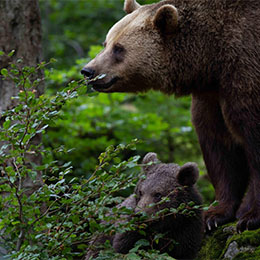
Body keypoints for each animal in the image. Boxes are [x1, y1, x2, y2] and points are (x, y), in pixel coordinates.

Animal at [82, 0, 260, 232]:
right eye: (106, 43)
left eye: (119, 48)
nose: (88, 71)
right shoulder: (212, 95)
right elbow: (220, 147)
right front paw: (213, 215)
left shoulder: (244, 69)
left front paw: (249, 217)